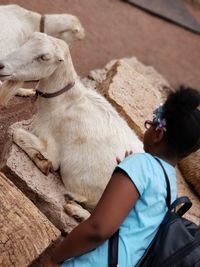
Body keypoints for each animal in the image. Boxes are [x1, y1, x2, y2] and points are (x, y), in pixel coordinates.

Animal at [0, 33, 144, 222]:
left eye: (43, 57)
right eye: (27, 42)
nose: (1, 65)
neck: (65, 102)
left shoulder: (52, 148)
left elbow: (16, 132)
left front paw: (43, 163)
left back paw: (76, 208)